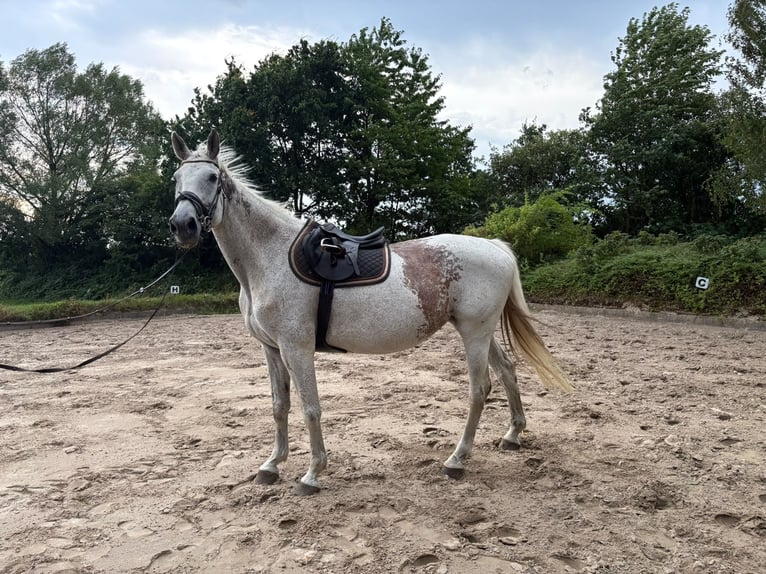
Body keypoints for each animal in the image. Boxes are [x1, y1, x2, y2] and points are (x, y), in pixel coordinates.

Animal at [168, 128, 573, 495]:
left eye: (212, 178)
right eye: (176, 179)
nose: (182, 226)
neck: (271, 257)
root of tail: (494, 246)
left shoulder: (296, 348)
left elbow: (310, 407)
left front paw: (312, 474)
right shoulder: (271, 349)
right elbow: (280, 405)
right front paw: (272, 465)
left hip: (475, 332)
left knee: (480, 388)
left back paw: (457, 459)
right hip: (480, 331)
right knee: (507, 371)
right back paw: (512, 435)